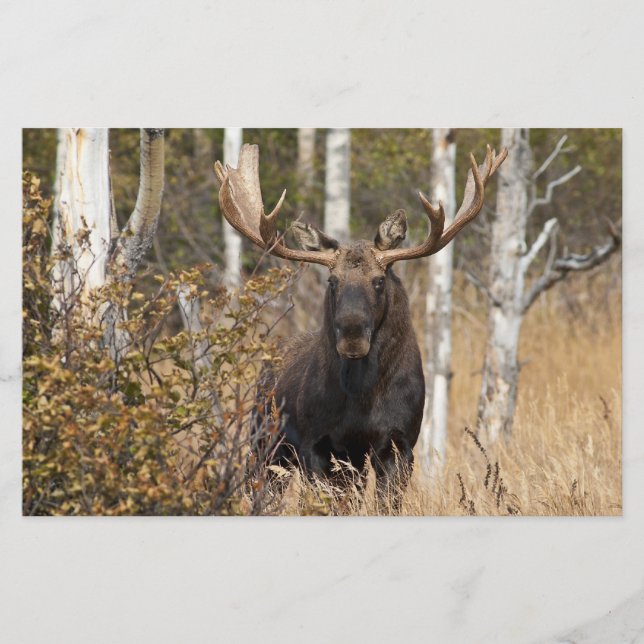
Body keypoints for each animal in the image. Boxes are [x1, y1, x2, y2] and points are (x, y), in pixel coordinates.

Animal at [214, 143, 507, 508]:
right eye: (332, 281)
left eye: (379, 280)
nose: (352, 336)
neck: (362, 399)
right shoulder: (318, 445)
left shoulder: (400, 444)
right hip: (266, 444)